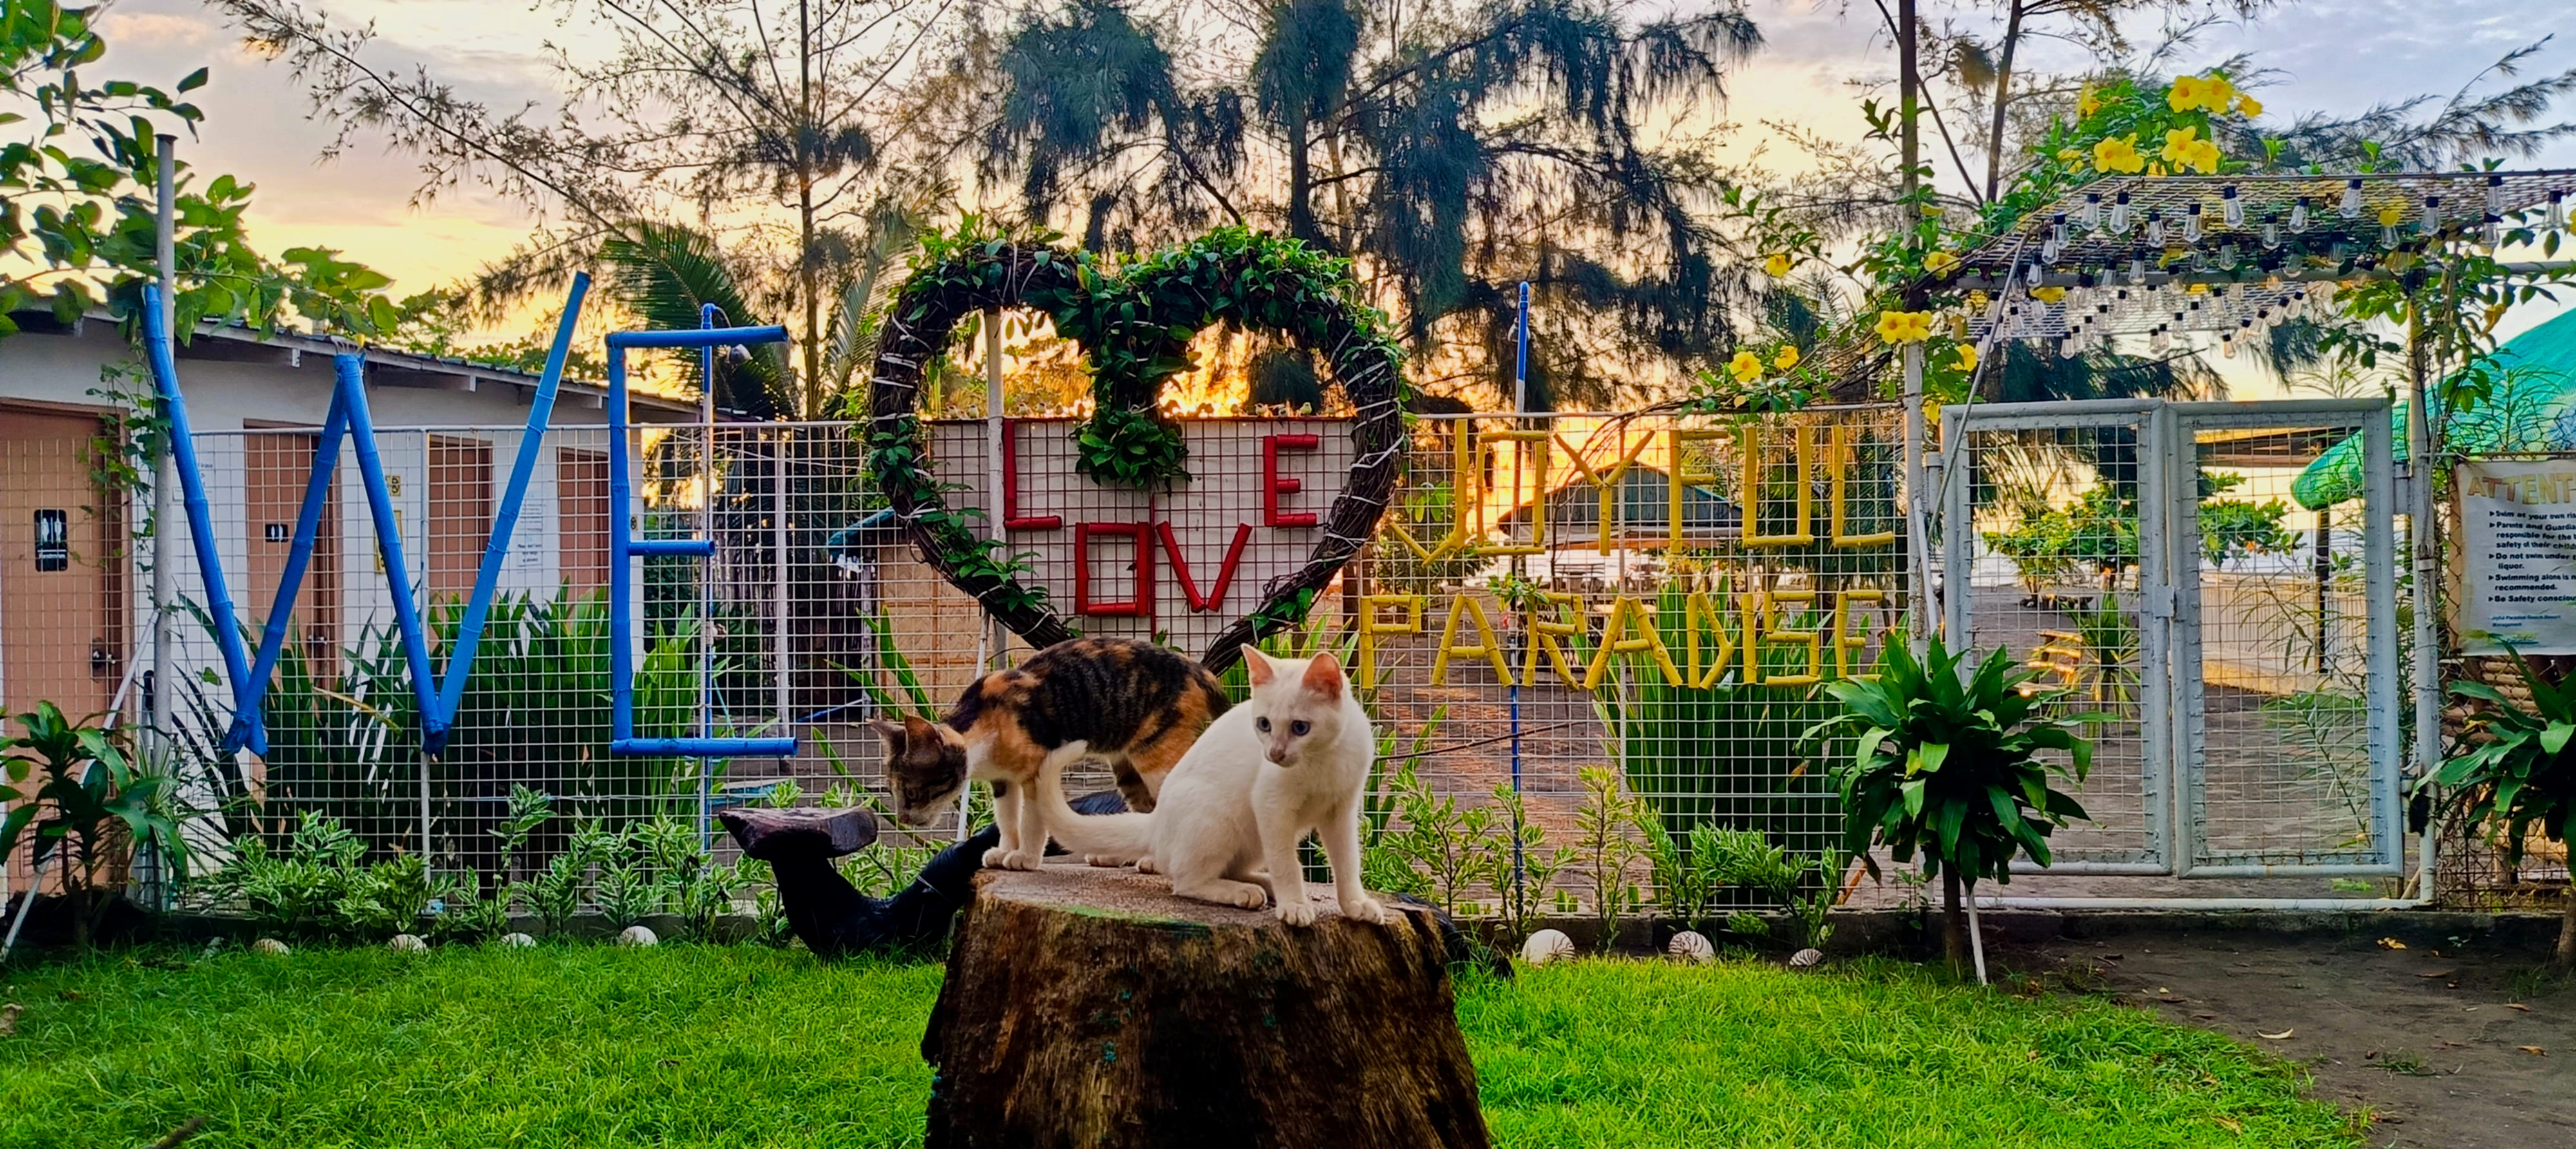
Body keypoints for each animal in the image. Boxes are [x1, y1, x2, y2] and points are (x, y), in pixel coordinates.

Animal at [870, 636, 1228, 872]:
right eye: (893, 792)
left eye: (912, 793)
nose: (903, 819)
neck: (985, 721)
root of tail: (1199, 670)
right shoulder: (1003, 782)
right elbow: (1007, 819)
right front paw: (1004, 851)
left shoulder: (1036, 771)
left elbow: (1031, 820)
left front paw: (1025, 859)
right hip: (1128, 768)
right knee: (1144, 811)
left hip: (1155, 756)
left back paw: (1156, 862)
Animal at [1032, 648, 1387, 927]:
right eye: (1264, 724)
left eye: (1301, 728)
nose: (1274, 755)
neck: (1323, 761)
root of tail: (1156, 821)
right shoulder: (1272, 807)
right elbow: (1287, 863)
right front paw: (1295, 906)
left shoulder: (1342, 813)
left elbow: (1347, 862)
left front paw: (1355, 904)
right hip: (1219, 819)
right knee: (1186, 880)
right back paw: (1245, 892)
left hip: (1251, 837)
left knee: (1229, 868)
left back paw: (1261, 884)